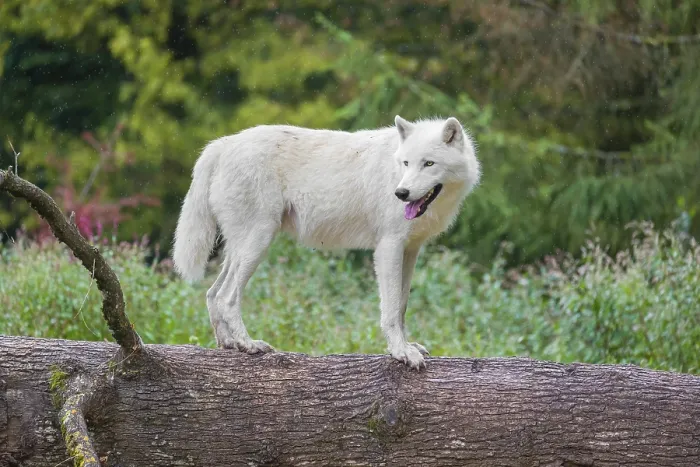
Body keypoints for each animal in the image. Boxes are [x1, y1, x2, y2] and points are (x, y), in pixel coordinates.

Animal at [172, 115, 480, 369]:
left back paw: (228, 345)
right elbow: (391, 310)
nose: (401, 193)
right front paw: (400, 352)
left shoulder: (410, 251)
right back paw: (248, 344)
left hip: (240, 250)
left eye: (428, 163)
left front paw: (407, 345)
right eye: (406, 163)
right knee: (227, 297)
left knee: (211, 293)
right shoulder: (388, 248)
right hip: (257, 243)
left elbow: (402, 306)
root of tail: (222, 144)